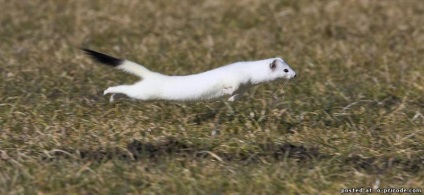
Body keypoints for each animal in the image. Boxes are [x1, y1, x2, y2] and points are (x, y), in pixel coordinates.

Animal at [82, 48, 294, 102]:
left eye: (290, 66)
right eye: (285, 70)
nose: (295, 74)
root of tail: (154, 75)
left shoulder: (245, 86)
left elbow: (238, 93)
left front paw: (232, 99)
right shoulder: (236, 77)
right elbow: (231, 85)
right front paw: (227, 91)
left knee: (127, 91)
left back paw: (114, 97)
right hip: (145, 92)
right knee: (126, 88)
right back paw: (108, 91)